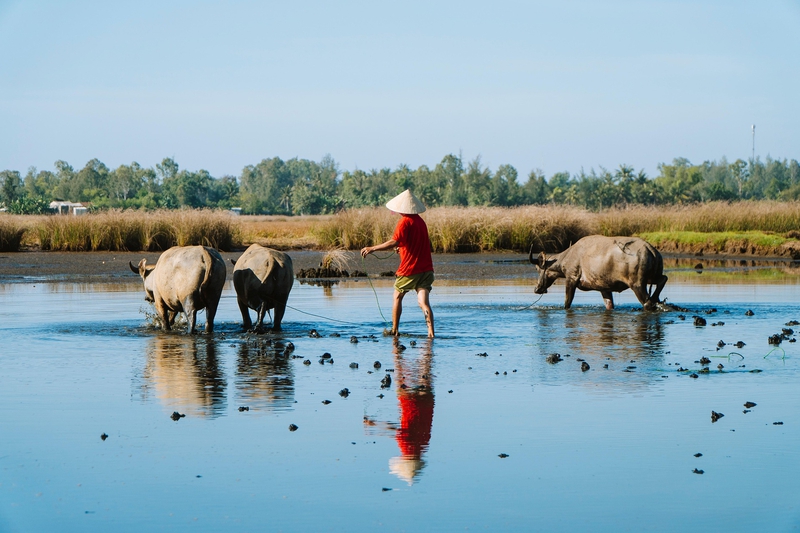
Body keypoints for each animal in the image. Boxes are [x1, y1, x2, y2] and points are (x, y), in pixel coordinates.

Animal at [530, 235, 668, 310]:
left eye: (537, 268)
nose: (537, 289)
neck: (564, 260)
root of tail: (652, 251)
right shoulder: (604, 288)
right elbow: (609, 305)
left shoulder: (571, 278)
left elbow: (567, 302)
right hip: (652, 277)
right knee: (663, 279)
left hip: (637, 284)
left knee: (647, 302)